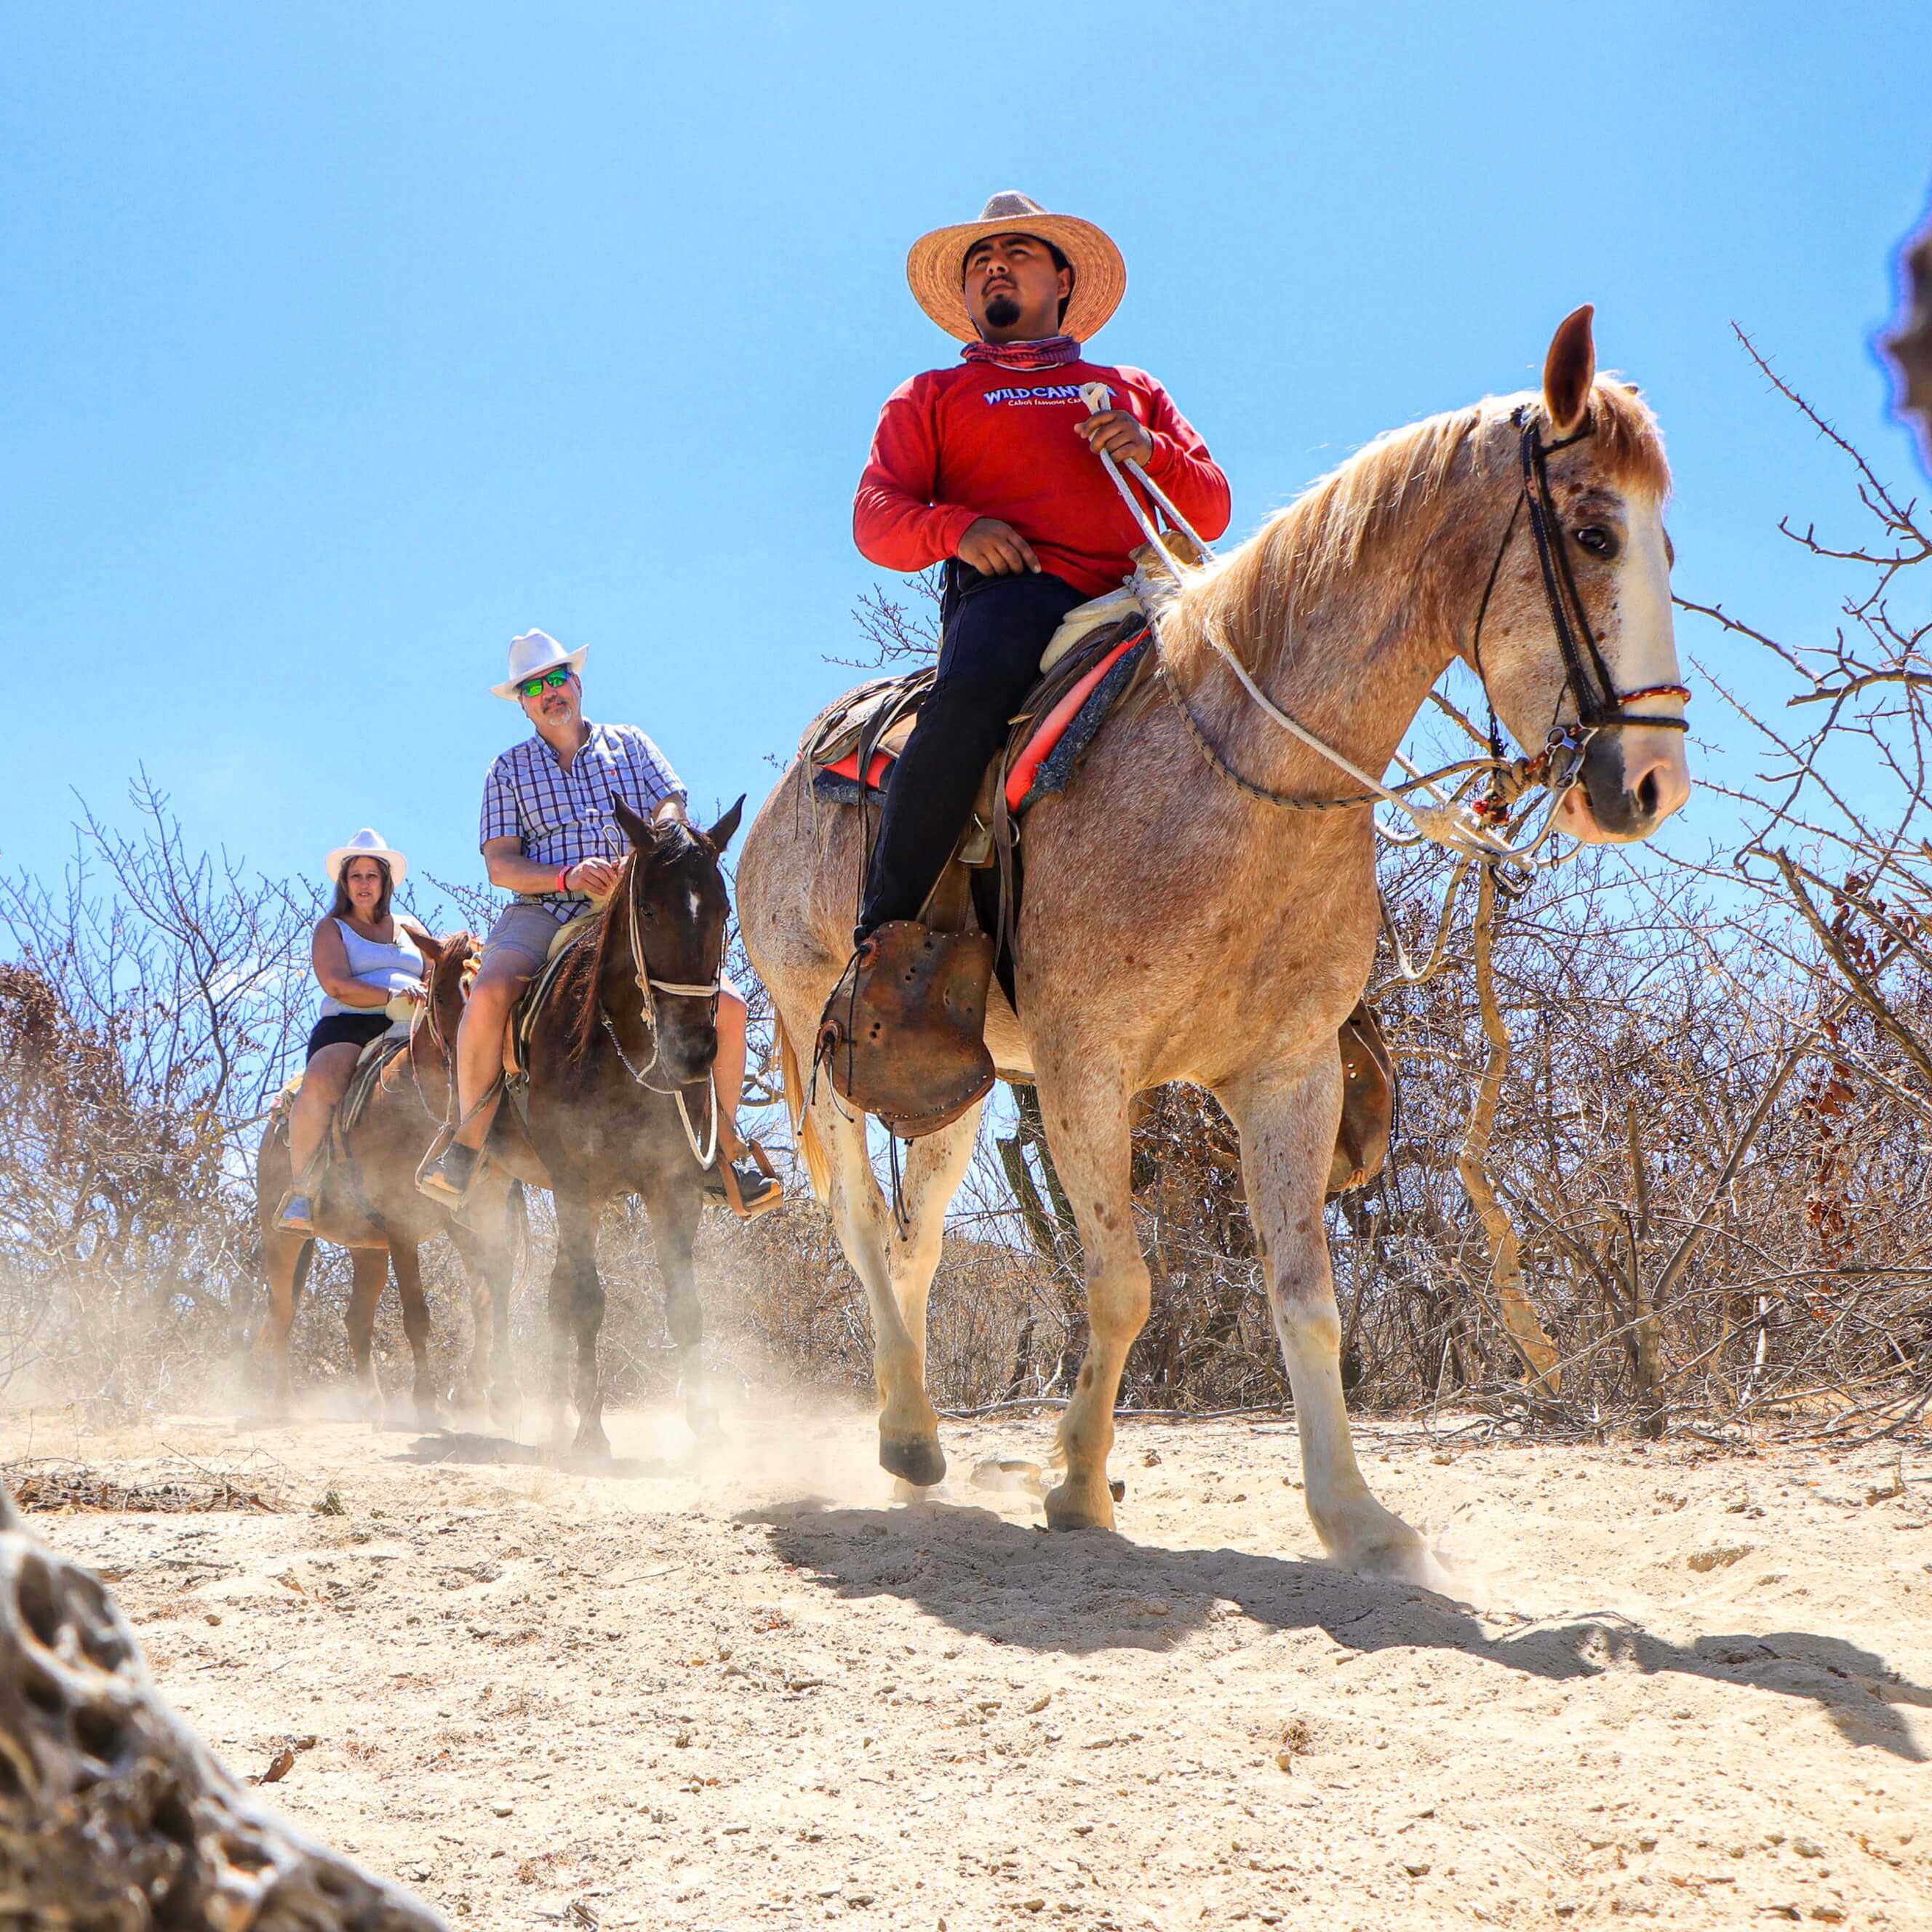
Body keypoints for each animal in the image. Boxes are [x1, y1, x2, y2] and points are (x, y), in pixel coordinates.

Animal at [255, 927, 529, 1429]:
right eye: (440, 996)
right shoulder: (403, 1226)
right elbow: (417, 1314)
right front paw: (427, 1402)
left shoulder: (470, 1220)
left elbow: (488, 1297)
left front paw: (492, 1395)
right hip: (281, 1237)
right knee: (283, 1310)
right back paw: (283, 1404)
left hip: (367, 1248)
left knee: (356, 1319)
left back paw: (370, 1403)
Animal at [487, 791, 741, 1453]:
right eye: (647, 909)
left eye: (723, 908)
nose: (694, 1052)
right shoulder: (578, 1187)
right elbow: (587, 1302)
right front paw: (591, 1432)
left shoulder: (674, 1186)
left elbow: (684, 1303)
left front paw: (706, 1425)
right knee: (498, 1282)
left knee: (550, 1290)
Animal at [738, 313, 1692, 1584]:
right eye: (1593, 533)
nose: (1650, 783)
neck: (1236, 777)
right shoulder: (1088, 1072)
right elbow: (1121, 1286)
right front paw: (1078, 1484)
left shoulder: (1289, 1077)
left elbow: (1306, 1301)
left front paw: (1354, 1515)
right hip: (823, 1039)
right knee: (855, 1221)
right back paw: (903, 1436)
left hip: (954, 1087)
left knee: (914, 1243)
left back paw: (921, 1439)